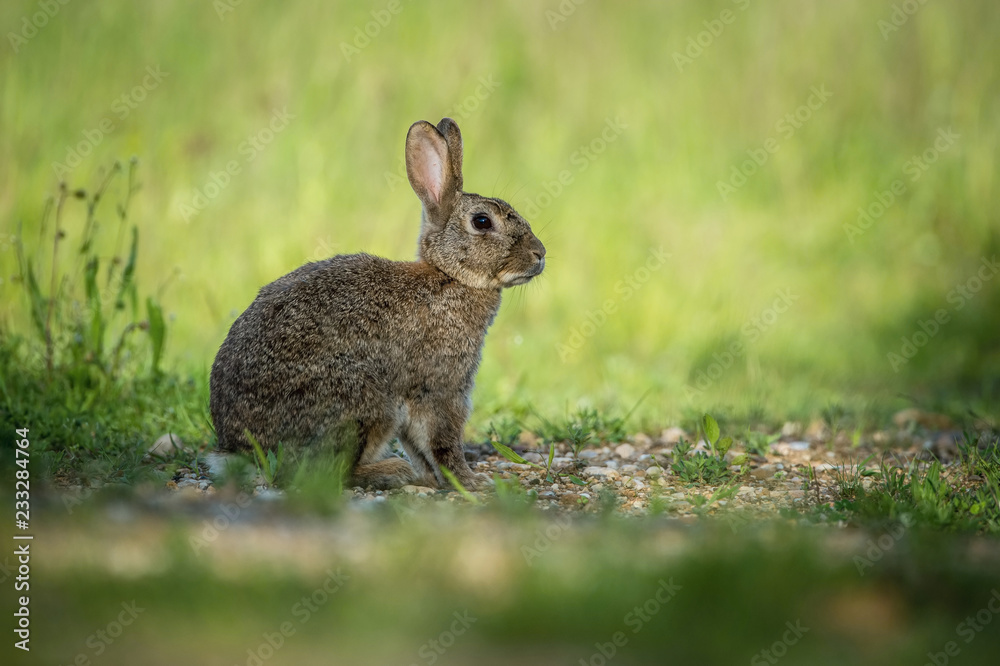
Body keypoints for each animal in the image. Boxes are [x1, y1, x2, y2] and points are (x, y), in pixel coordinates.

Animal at [209, 118, 546, 490]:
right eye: (482, 222)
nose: (540, 254)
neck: (449, 276)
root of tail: (240, 449)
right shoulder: (440, 387)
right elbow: (443, 441)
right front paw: (469, 482)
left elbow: (419, 445)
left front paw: (433, 480)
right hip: (363, 402)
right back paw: (391, 471)